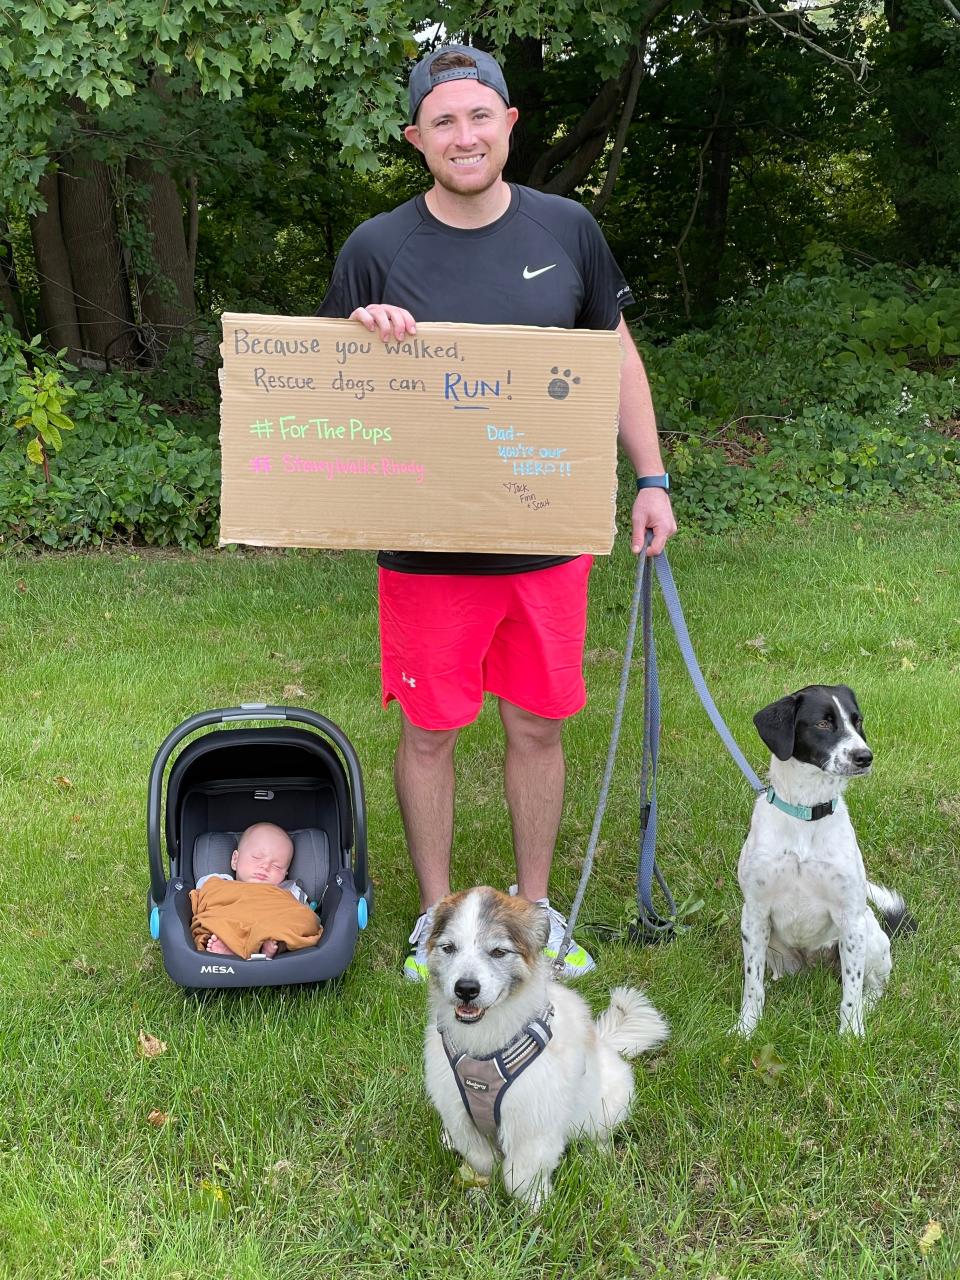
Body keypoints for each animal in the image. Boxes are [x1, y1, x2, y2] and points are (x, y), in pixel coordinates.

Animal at [419, 885, 670, 1203]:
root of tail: (605, 1041)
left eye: (498, 951)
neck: (486, 1045)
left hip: (606, 1106)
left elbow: (521, 1175)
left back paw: (596, 1157)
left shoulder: (535, 1120)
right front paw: (481, 1188)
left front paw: (536, 1207)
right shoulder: (459, 1112)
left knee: (599, 1134)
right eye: (449, 948)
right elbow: (482, 1159)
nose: (466, 989)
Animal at [742, 686, 911, 1034]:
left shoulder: (850, 919)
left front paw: (851, 1034)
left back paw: (868, 1008)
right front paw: (746, 1028)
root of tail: (812, 967)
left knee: (873, 985)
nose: (865, 757)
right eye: (823, 723)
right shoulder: (753, 913)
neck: (807, 813)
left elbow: (851, 991)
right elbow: (753, 985)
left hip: (868, 933)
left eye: (857, 721)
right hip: (775, 948)